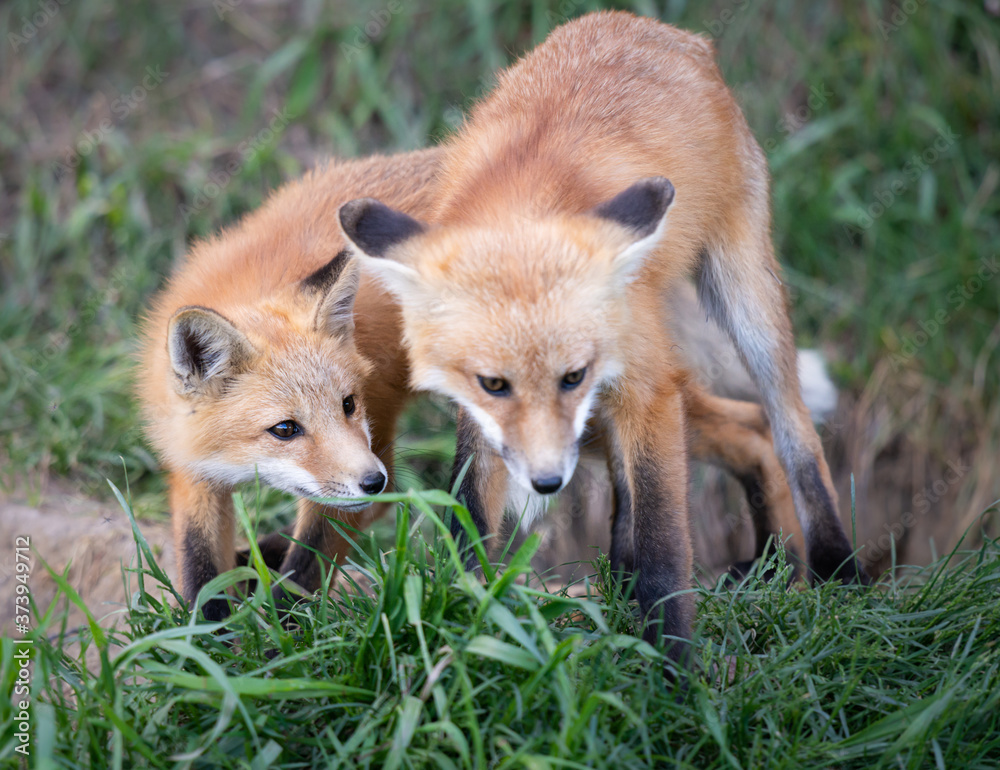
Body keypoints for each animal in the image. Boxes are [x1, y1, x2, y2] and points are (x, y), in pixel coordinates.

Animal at [339, 12, 868, 664]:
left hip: (741, 297)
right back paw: (658, 574)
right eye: (493, 384)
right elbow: (470, 515)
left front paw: (675, 666)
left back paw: (834, 569)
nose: (546, 482)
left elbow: (665, 547)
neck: (524, 205)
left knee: (791, 430)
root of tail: (650, 26)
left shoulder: (647, 387)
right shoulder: (489, 416)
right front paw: (465, 619)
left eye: (571, 376)